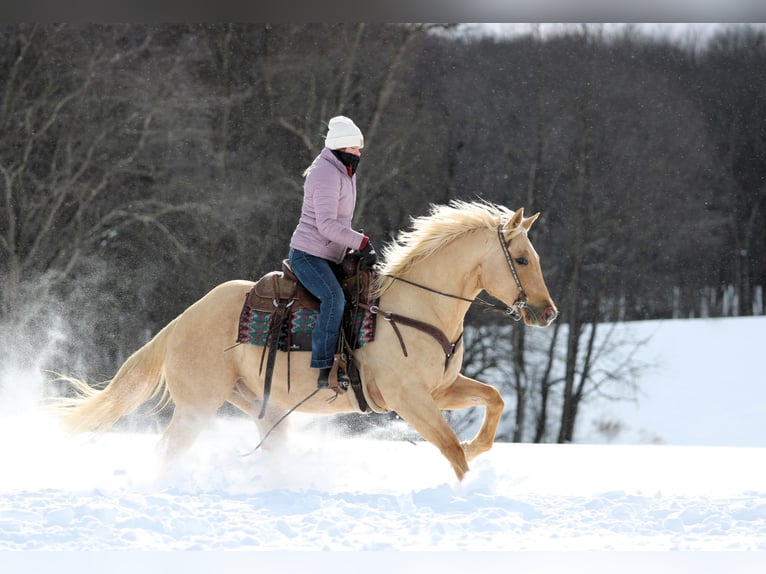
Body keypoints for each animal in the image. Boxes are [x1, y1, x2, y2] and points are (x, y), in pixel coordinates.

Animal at [57, 200, 558, 480]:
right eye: (520, 259)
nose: (547, 312)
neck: (419, 308)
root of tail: (180, 322)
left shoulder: (441, 389)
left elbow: (494, 400)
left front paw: (478, 446)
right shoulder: (410, 398)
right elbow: (449, 447)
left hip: (257, 404)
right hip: (198, 405)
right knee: (168, 451)